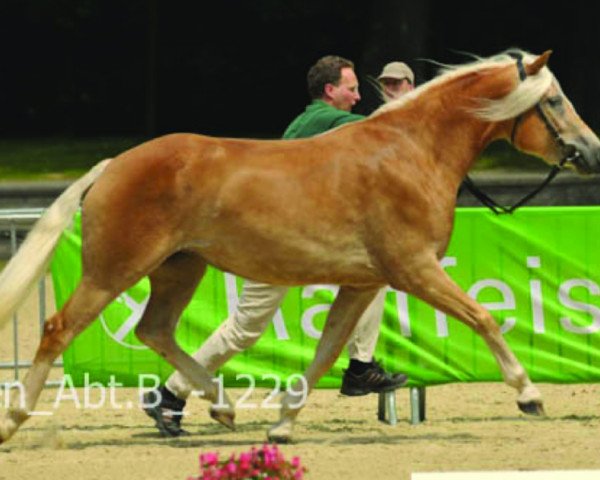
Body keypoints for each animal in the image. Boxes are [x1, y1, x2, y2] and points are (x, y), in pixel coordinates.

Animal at [1, 48, 600, 442]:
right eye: (554, 100)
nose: (591, 151)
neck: (409, 152)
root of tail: (112, 165)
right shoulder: (415, 268)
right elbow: (483, 317)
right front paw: (529, 395)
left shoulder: (364, 281)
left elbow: (328, 349)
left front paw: (283, 425)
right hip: (114, 269)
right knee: (59, 329)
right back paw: (15, 420)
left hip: (179, 268)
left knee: (155, 330)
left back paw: (219, 408)